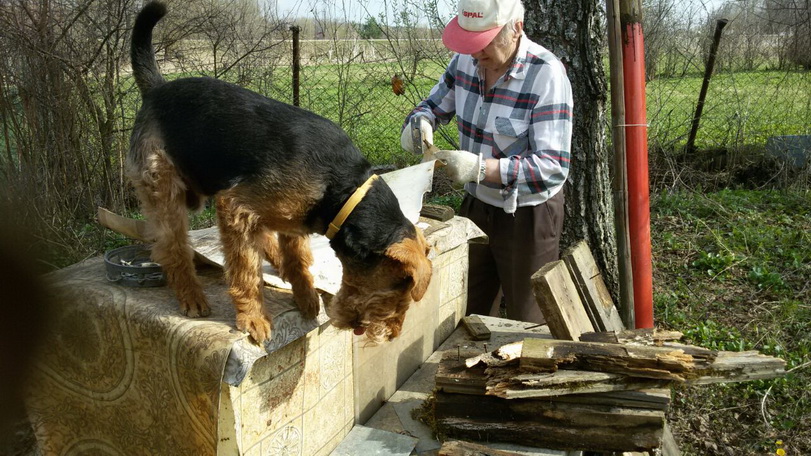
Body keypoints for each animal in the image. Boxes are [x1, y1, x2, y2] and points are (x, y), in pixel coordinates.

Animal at [127, 1, 432, 345]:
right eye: (401, 287)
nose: (393, 334)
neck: (342, 191)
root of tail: (156, 89)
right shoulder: (235, 206)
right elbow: (246, 271)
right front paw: (254, 317)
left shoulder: (290, 219)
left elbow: (298, 260)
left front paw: (306, 298)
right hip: (165, 191)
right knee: (173, 248)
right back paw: (191, 295)